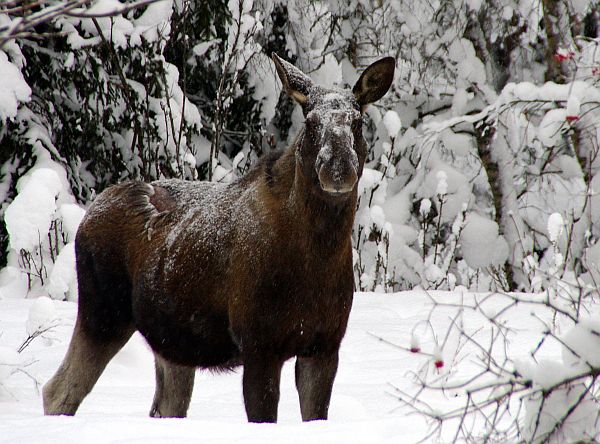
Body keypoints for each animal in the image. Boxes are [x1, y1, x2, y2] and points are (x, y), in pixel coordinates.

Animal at [44, 53, 396, 422]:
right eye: (311, 123)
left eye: (358, 122)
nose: (338, 169)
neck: (318, 258)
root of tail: (87, 216)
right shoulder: (259, 344)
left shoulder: (324, 346)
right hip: (103, 313)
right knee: (58, 392)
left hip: (170, 342)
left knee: (163, 404)